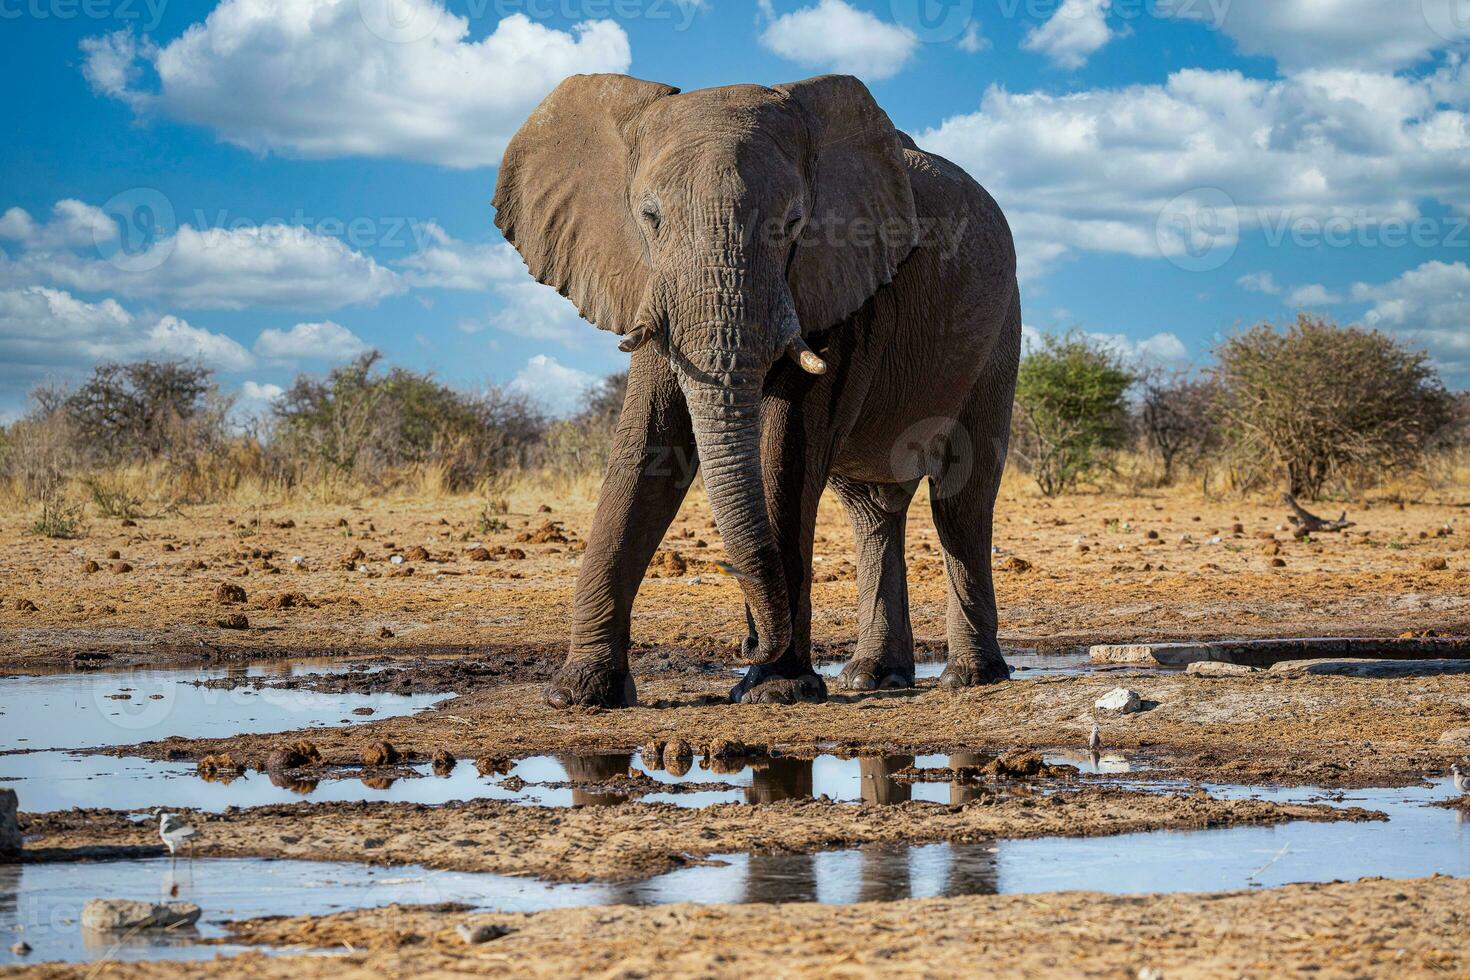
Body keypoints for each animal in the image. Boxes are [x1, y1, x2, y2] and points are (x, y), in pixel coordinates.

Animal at [493, 72, 1023, 708]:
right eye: (650, 217)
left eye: (791, 225)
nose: (749, 643)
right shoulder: (650, 281)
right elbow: (646, 451)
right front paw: (580, 693)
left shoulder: (835, 286)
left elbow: (786, 456)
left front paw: (776, 689)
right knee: (873, 510)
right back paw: (872, 678)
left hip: (1001, 329)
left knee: (960, 499)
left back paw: (969, 677)